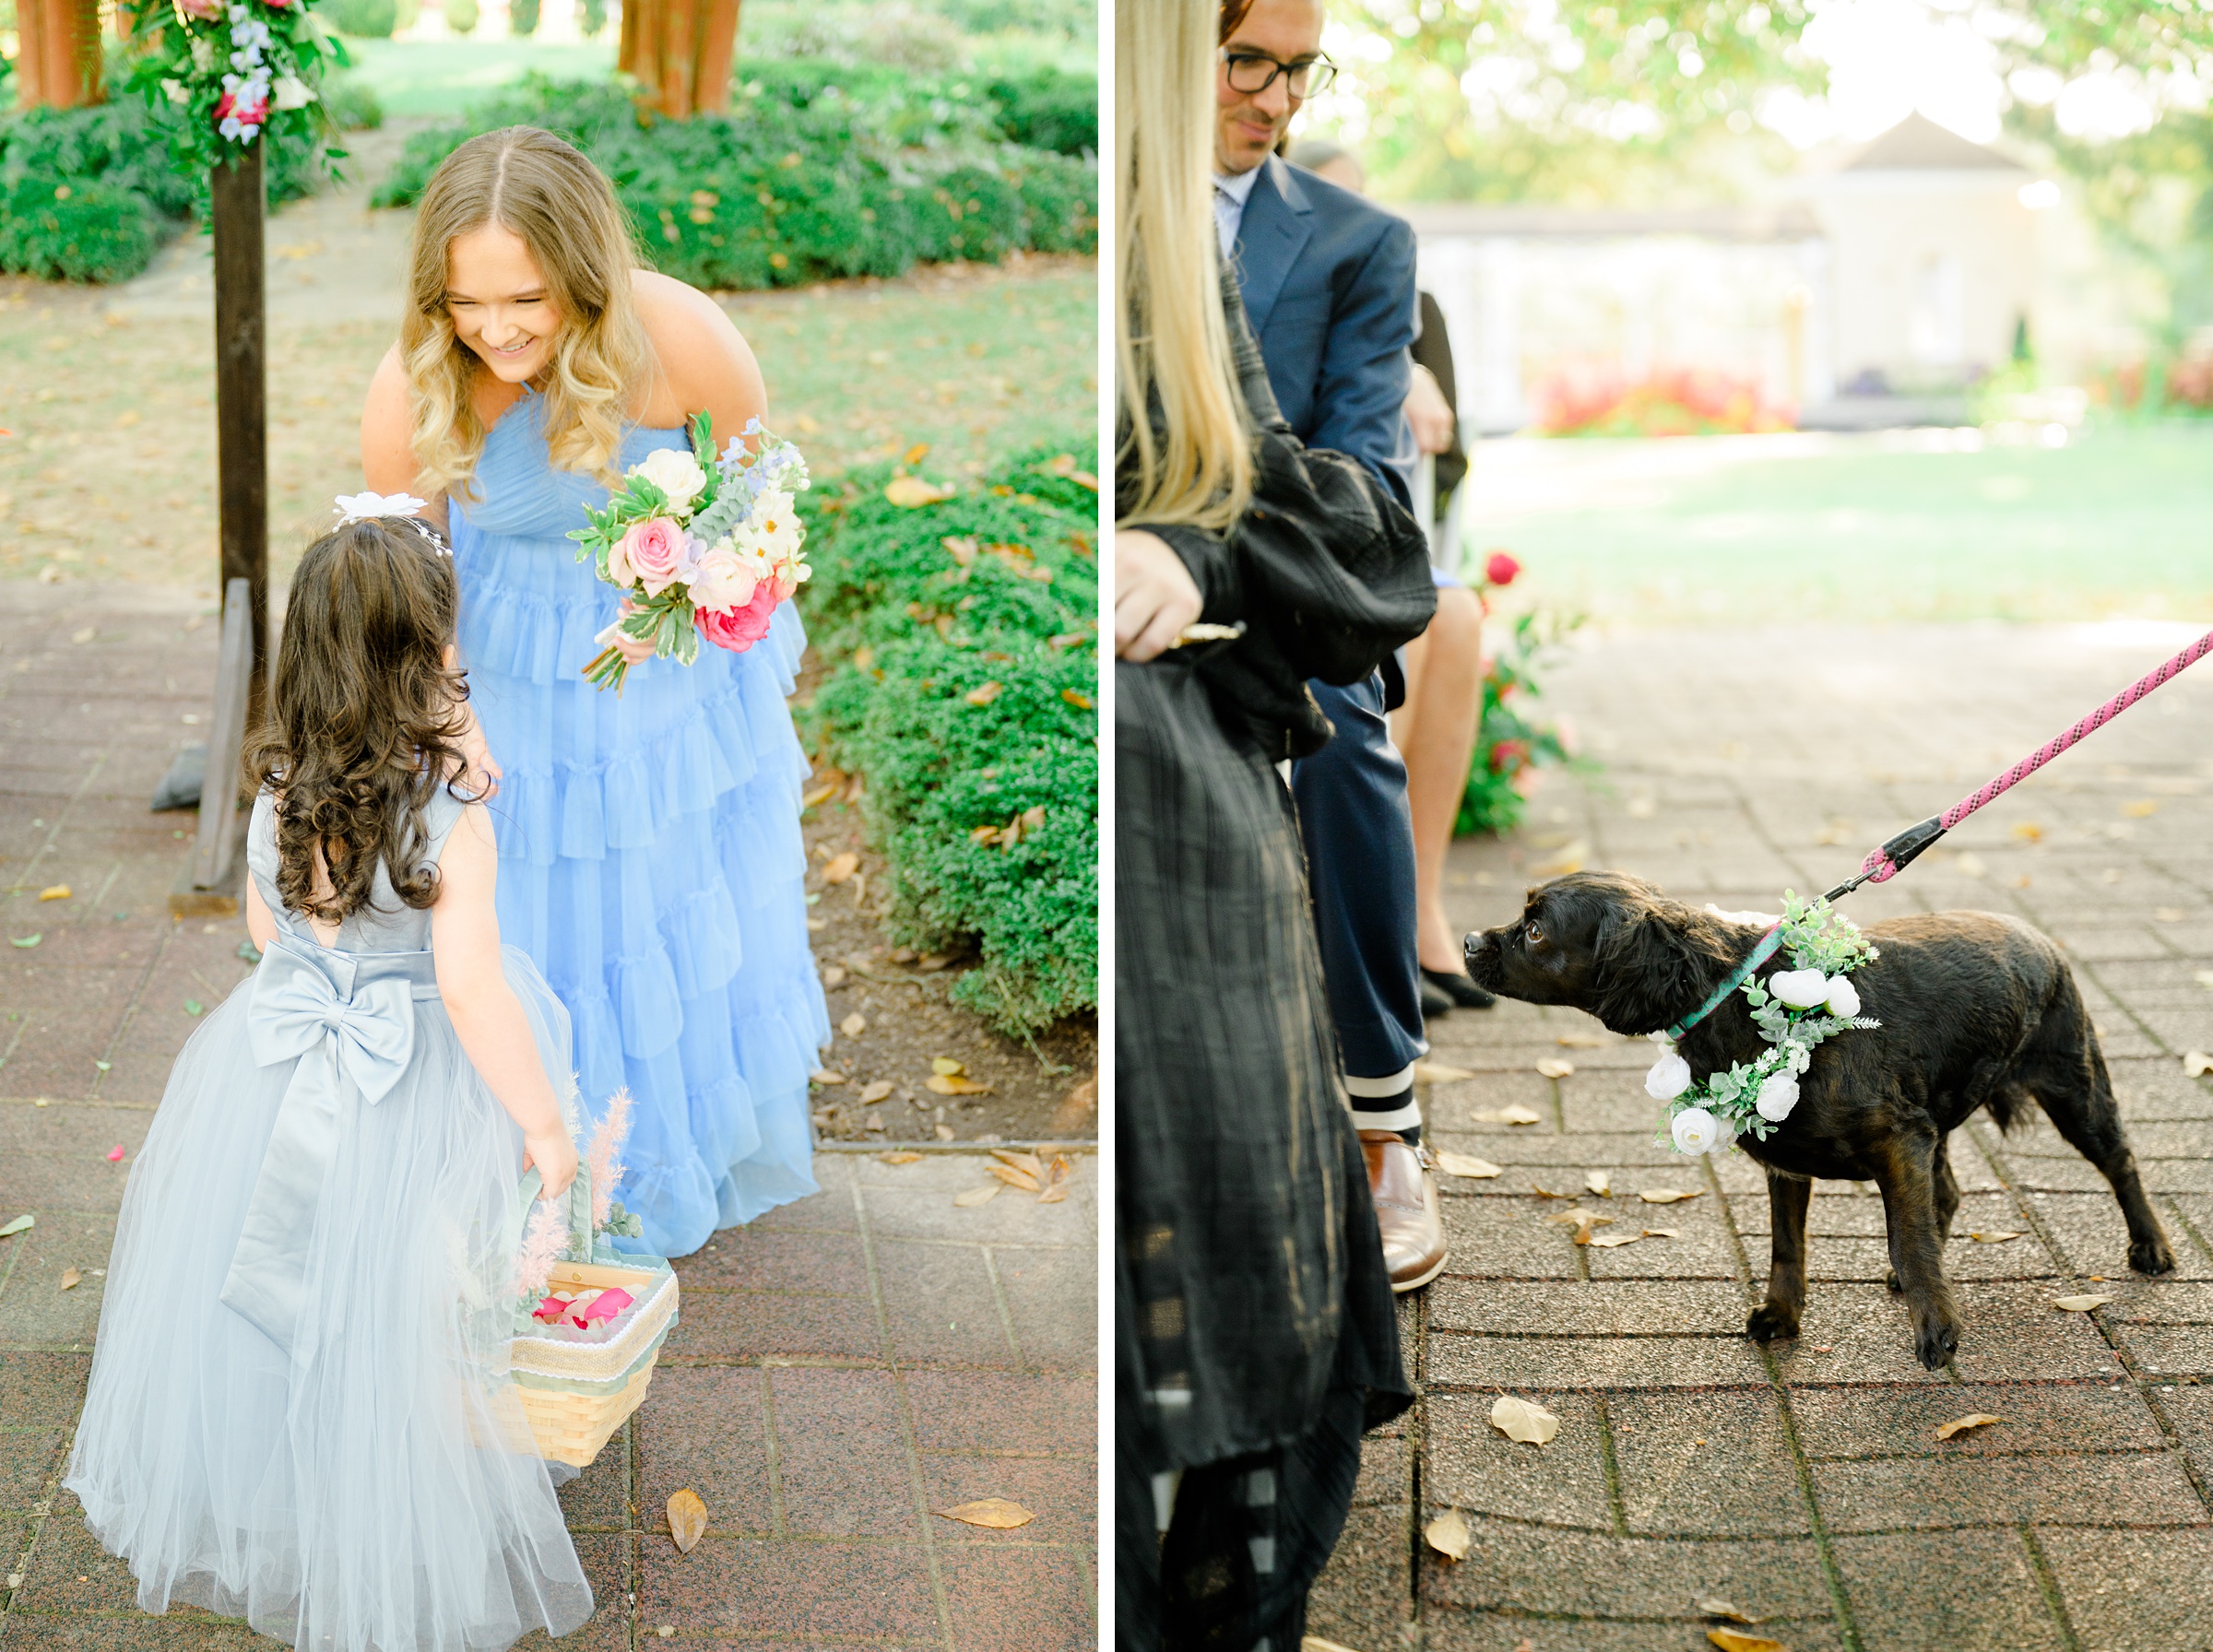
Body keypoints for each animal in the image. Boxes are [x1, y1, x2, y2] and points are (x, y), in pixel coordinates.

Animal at [1461, 871, 2169, 1379]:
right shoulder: (1795, 1159)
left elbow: (1909, 1243)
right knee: (1947, 1192)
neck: (1732, 995)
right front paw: (1781, 1315)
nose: (1468, 942)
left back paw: (2152, 1248)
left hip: (2074, 1089)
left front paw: (1936, 1328)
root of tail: (2038, 936)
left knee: (2122, 1161)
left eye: (1535, 930)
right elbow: (1787, 1247)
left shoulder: (1898, 1140)